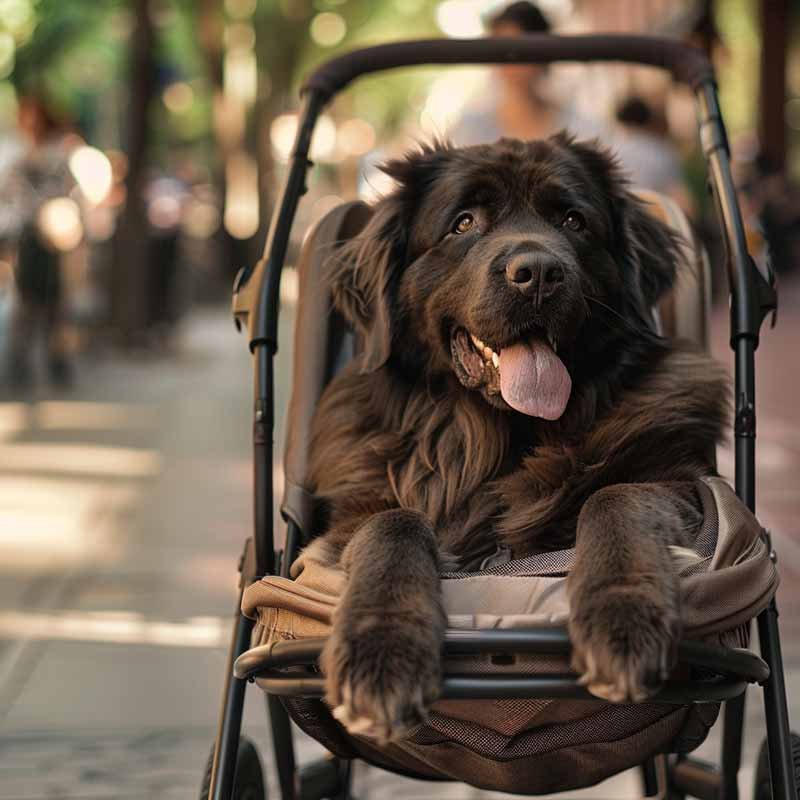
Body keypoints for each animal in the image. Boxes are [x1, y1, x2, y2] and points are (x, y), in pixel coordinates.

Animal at [300, 134, 732, 740]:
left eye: (573, 220)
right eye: (463, 223)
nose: (539, 272)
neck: (503, 439)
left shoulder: (677, 480)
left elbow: (615, 496)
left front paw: (622, 617)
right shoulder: (356, 511)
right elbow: (392, 526)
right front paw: (382, 648)